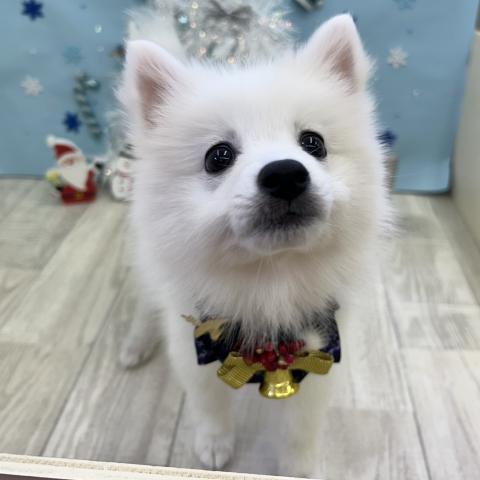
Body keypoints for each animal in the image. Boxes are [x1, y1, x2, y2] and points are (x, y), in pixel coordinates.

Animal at [119, 14, 390, 476]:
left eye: (314, 143)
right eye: (218, 156)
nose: (285, 174)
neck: (271, 282)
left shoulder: (323, 356)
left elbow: (300, 427)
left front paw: (298, 465)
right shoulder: (195, 349)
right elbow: (210, 407)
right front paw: (213, 445)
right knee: (143, 301)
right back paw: (136, 344)